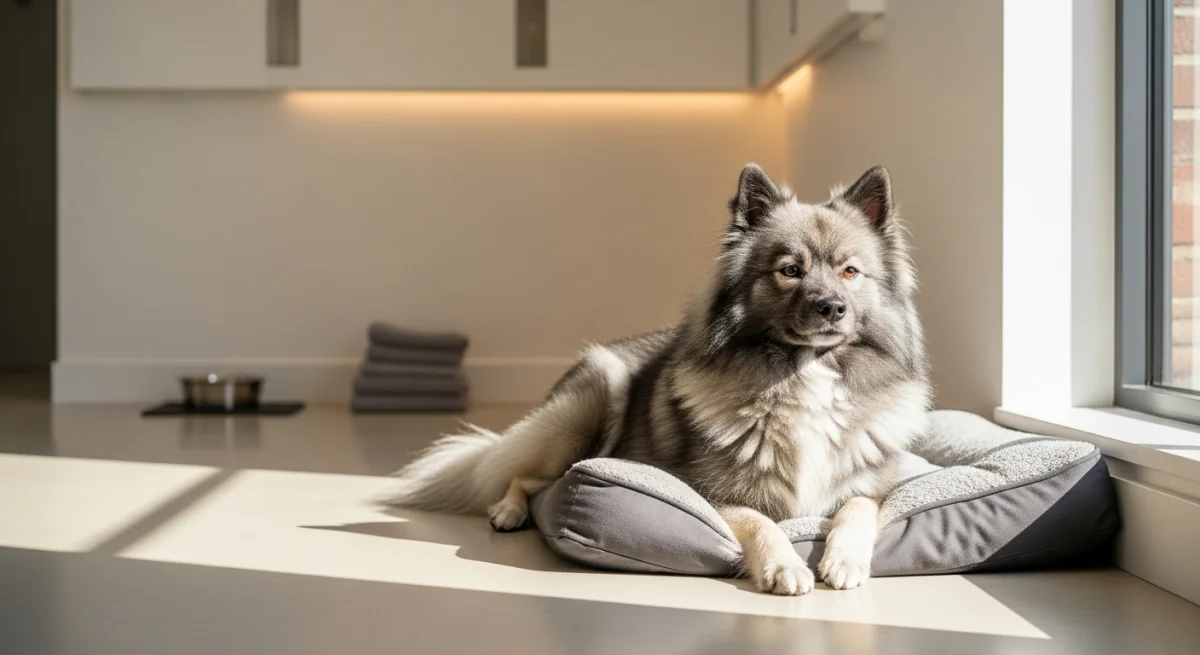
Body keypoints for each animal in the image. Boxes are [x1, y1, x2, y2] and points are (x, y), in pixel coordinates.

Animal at [381, 164, 931, 595]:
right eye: (790, 270)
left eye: (850, 272)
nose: (832, 308)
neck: (800, 372)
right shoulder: (712, 494)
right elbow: (760, 524)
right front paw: (784, 567)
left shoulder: (872, 486)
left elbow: (858, 506)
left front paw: (844, 561)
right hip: (588, 409)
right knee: (524, 477)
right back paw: (508, 512)